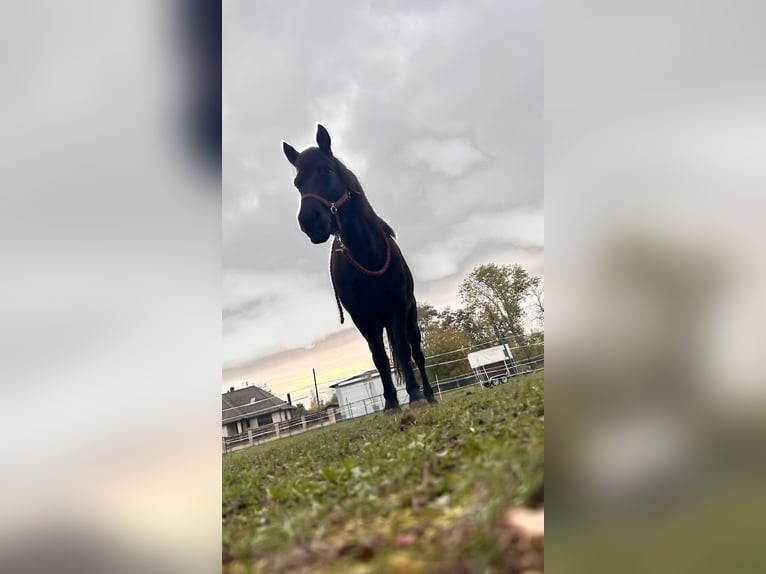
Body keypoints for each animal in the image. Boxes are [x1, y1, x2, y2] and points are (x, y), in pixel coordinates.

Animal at [284, 126, 438, 414]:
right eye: (297, 183)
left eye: (326, 171)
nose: (309, 221)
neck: (368, 254)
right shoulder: (362, 318)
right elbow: (379, 357)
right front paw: (391, 402)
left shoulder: (396, 307)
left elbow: (403, 350)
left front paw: (415, 396)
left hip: (410, 316)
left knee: (416, 352)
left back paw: (429, 394)